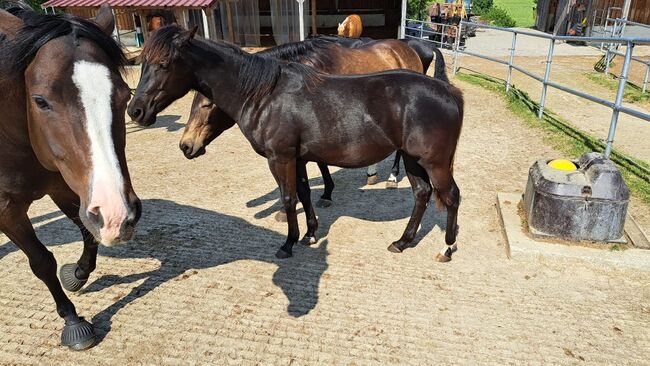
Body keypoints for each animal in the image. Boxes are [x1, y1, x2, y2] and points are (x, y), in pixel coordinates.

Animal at [0, 5, 141, 348]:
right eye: (39, 100)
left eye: (125, 96)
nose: (119, 215)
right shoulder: (5, 210)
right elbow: (41, 261)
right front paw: (73, 321)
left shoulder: (66, 188)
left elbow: (89, 235)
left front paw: (77, 274)